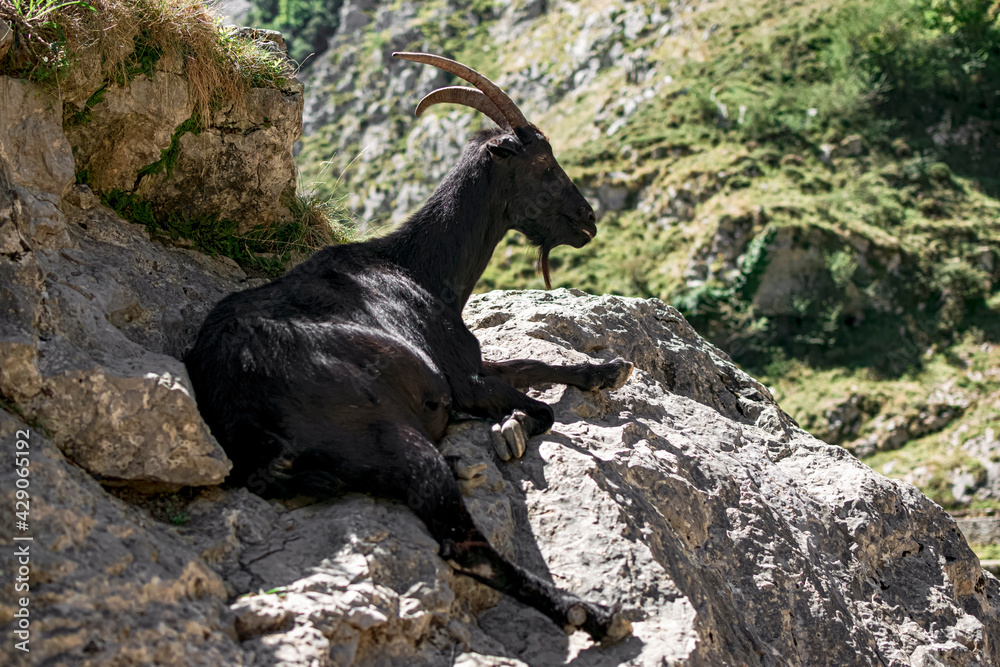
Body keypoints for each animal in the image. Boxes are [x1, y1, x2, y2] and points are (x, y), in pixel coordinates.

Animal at [185, 52, 633, 643]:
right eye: (542, 164)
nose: (588, 219)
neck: (417, 266)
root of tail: (244, 421)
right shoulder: (463, 379)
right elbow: (540, 408)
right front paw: (510, 429)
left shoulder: (468, 358)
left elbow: (531, 361)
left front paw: (609, 368)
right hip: (393, 438)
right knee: (464, 545)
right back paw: (589, 611)